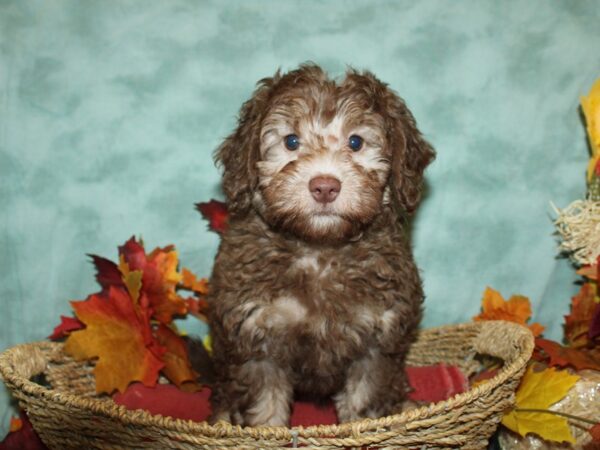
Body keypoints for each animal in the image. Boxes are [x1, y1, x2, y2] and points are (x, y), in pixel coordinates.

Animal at [209, 63, 434, 426]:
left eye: (356, 142)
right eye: (291, 141)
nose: (325, 186)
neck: (319, 248)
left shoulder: (377, 338)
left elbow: (365, 400)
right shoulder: (255, 336)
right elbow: (264, 406)